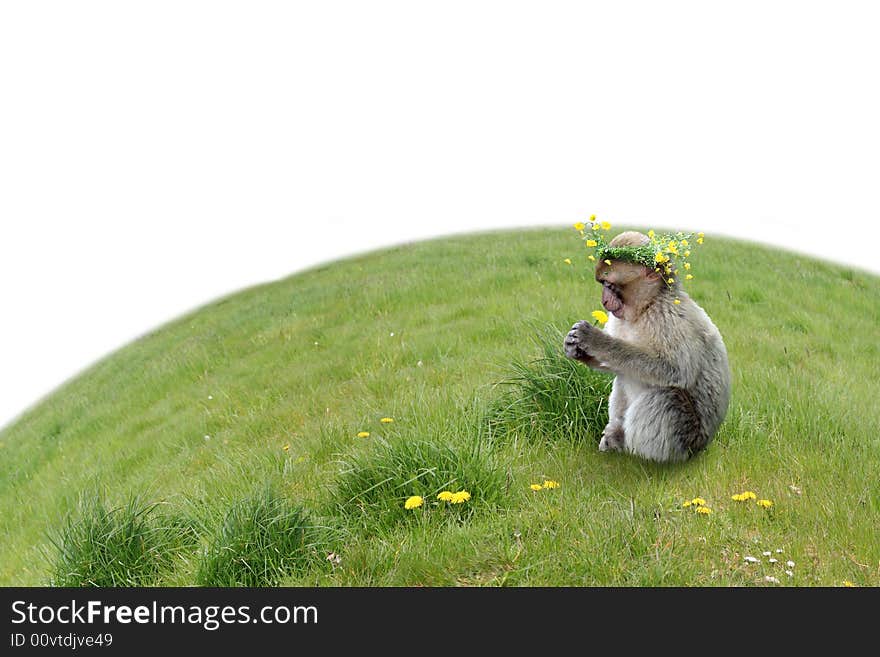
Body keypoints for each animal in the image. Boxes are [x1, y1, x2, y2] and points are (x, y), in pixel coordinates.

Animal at [568, 231, 732, 462]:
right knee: (624, 374)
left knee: (666, 397)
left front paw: (594, 339)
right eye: (602, 284)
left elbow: (675, 370)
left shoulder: (668, 318)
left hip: (689, 441)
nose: (604, 302)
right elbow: (615, 364)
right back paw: (616, 436)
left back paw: (641, 457)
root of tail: (703, 447)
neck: (646, 307)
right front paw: (575, 348)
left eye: (609, 284)